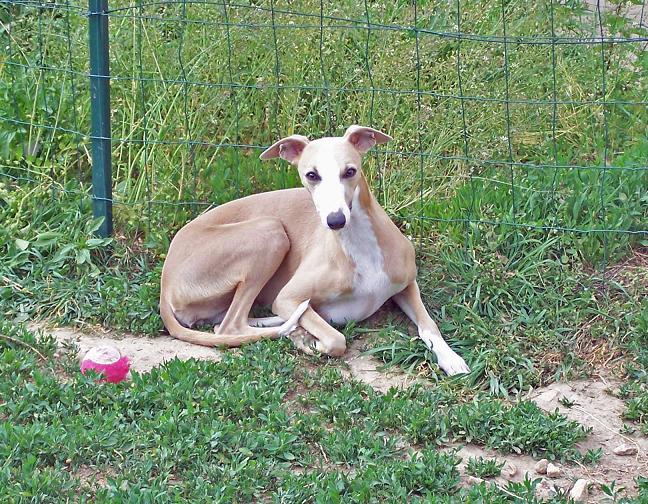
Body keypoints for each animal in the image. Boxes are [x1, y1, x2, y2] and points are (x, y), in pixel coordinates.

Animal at [159, 125, 468, 374]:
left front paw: (451, 358)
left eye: (350, 171)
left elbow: (429, 325)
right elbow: (336, 339)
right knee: (229, 326)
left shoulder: (406, 283)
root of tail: (165, 282)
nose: (335, 220)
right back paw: (293, 331)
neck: (360, 244)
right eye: (311, 175)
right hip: (270, 232)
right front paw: (306, 339)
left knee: (228, 322)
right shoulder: (288, 297)